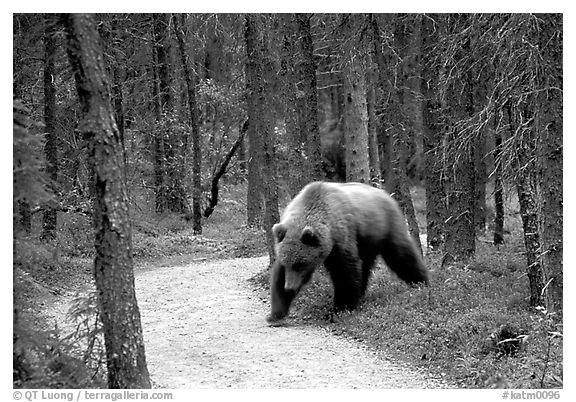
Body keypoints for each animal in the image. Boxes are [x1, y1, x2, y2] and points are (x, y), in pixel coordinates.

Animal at [266, 181, 428, 324]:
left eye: (300, 264)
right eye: (288, 264)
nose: (289, 287)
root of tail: (386, 194)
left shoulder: (342, 237)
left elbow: (345, 272)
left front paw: (340, 309)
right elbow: (278, 276)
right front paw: (275, 313)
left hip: (386, 227)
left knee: (401, 255)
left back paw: (421, 282)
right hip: (368, 241)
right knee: (366, 266)